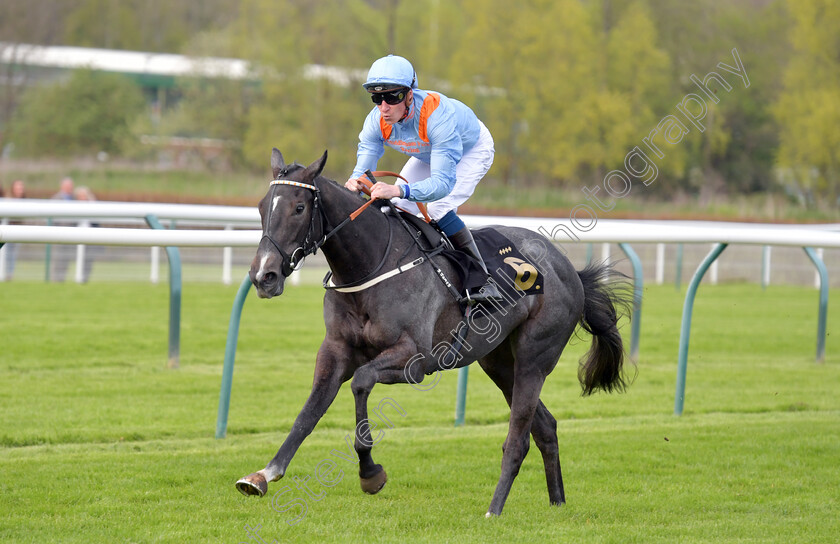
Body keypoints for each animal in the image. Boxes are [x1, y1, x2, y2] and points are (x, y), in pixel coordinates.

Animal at [236, 150, 632, 520]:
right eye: (261, 208)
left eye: (299, 207)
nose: (264, 276)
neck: (371, 265)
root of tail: (569, 269)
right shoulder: (334, 350)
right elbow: (309, 412)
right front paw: (263, 475)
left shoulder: (416, 360)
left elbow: (361, 382)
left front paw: (370, 472)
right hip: (499, 362)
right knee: (545, 426)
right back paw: (557, 502)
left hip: (535, 357)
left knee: (518, 438)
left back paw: (494, 509)